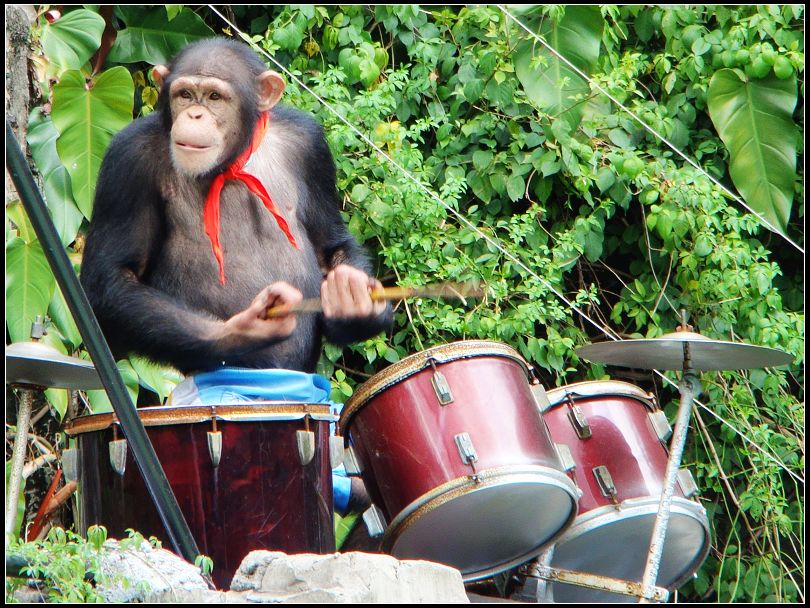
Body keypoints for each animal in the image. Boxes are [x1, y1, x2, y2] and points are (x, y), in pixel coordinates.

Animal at [80, 38, 393, 376]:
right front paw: (243, 331)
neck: (231, 165)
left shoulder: (311, 145)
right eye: (184, 95)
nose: (194, 115)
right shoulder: (126, 160)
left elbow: (329, 245)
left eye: (214, 97)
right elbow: (113, 277)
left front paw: (355, 300)